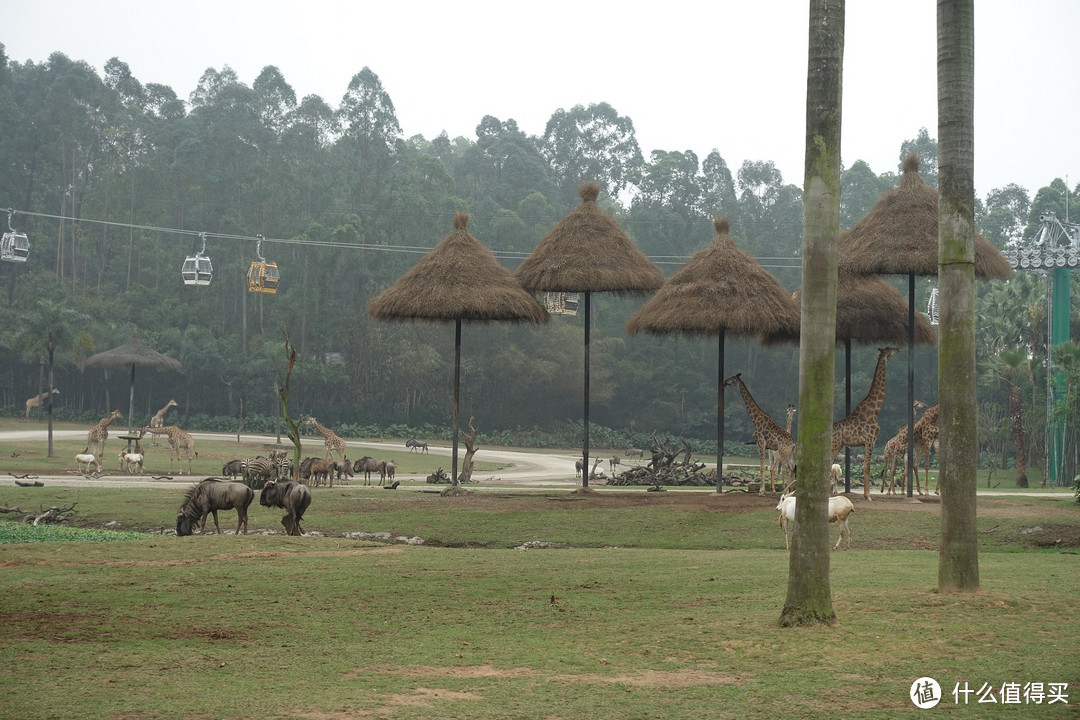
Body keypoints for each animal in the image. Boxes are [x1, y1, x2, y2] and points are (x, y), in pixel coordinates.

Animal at [829, 347, 898, 500]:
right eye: (890, 351)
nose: (898, 349)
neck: (875, 410)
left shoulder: (867, 442)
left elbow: (865, 467)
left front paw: (867, 495)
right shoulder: (870, 440)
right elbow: (867, 467)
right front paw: (868, 496)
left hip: (838, 445)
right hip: (835, 445)